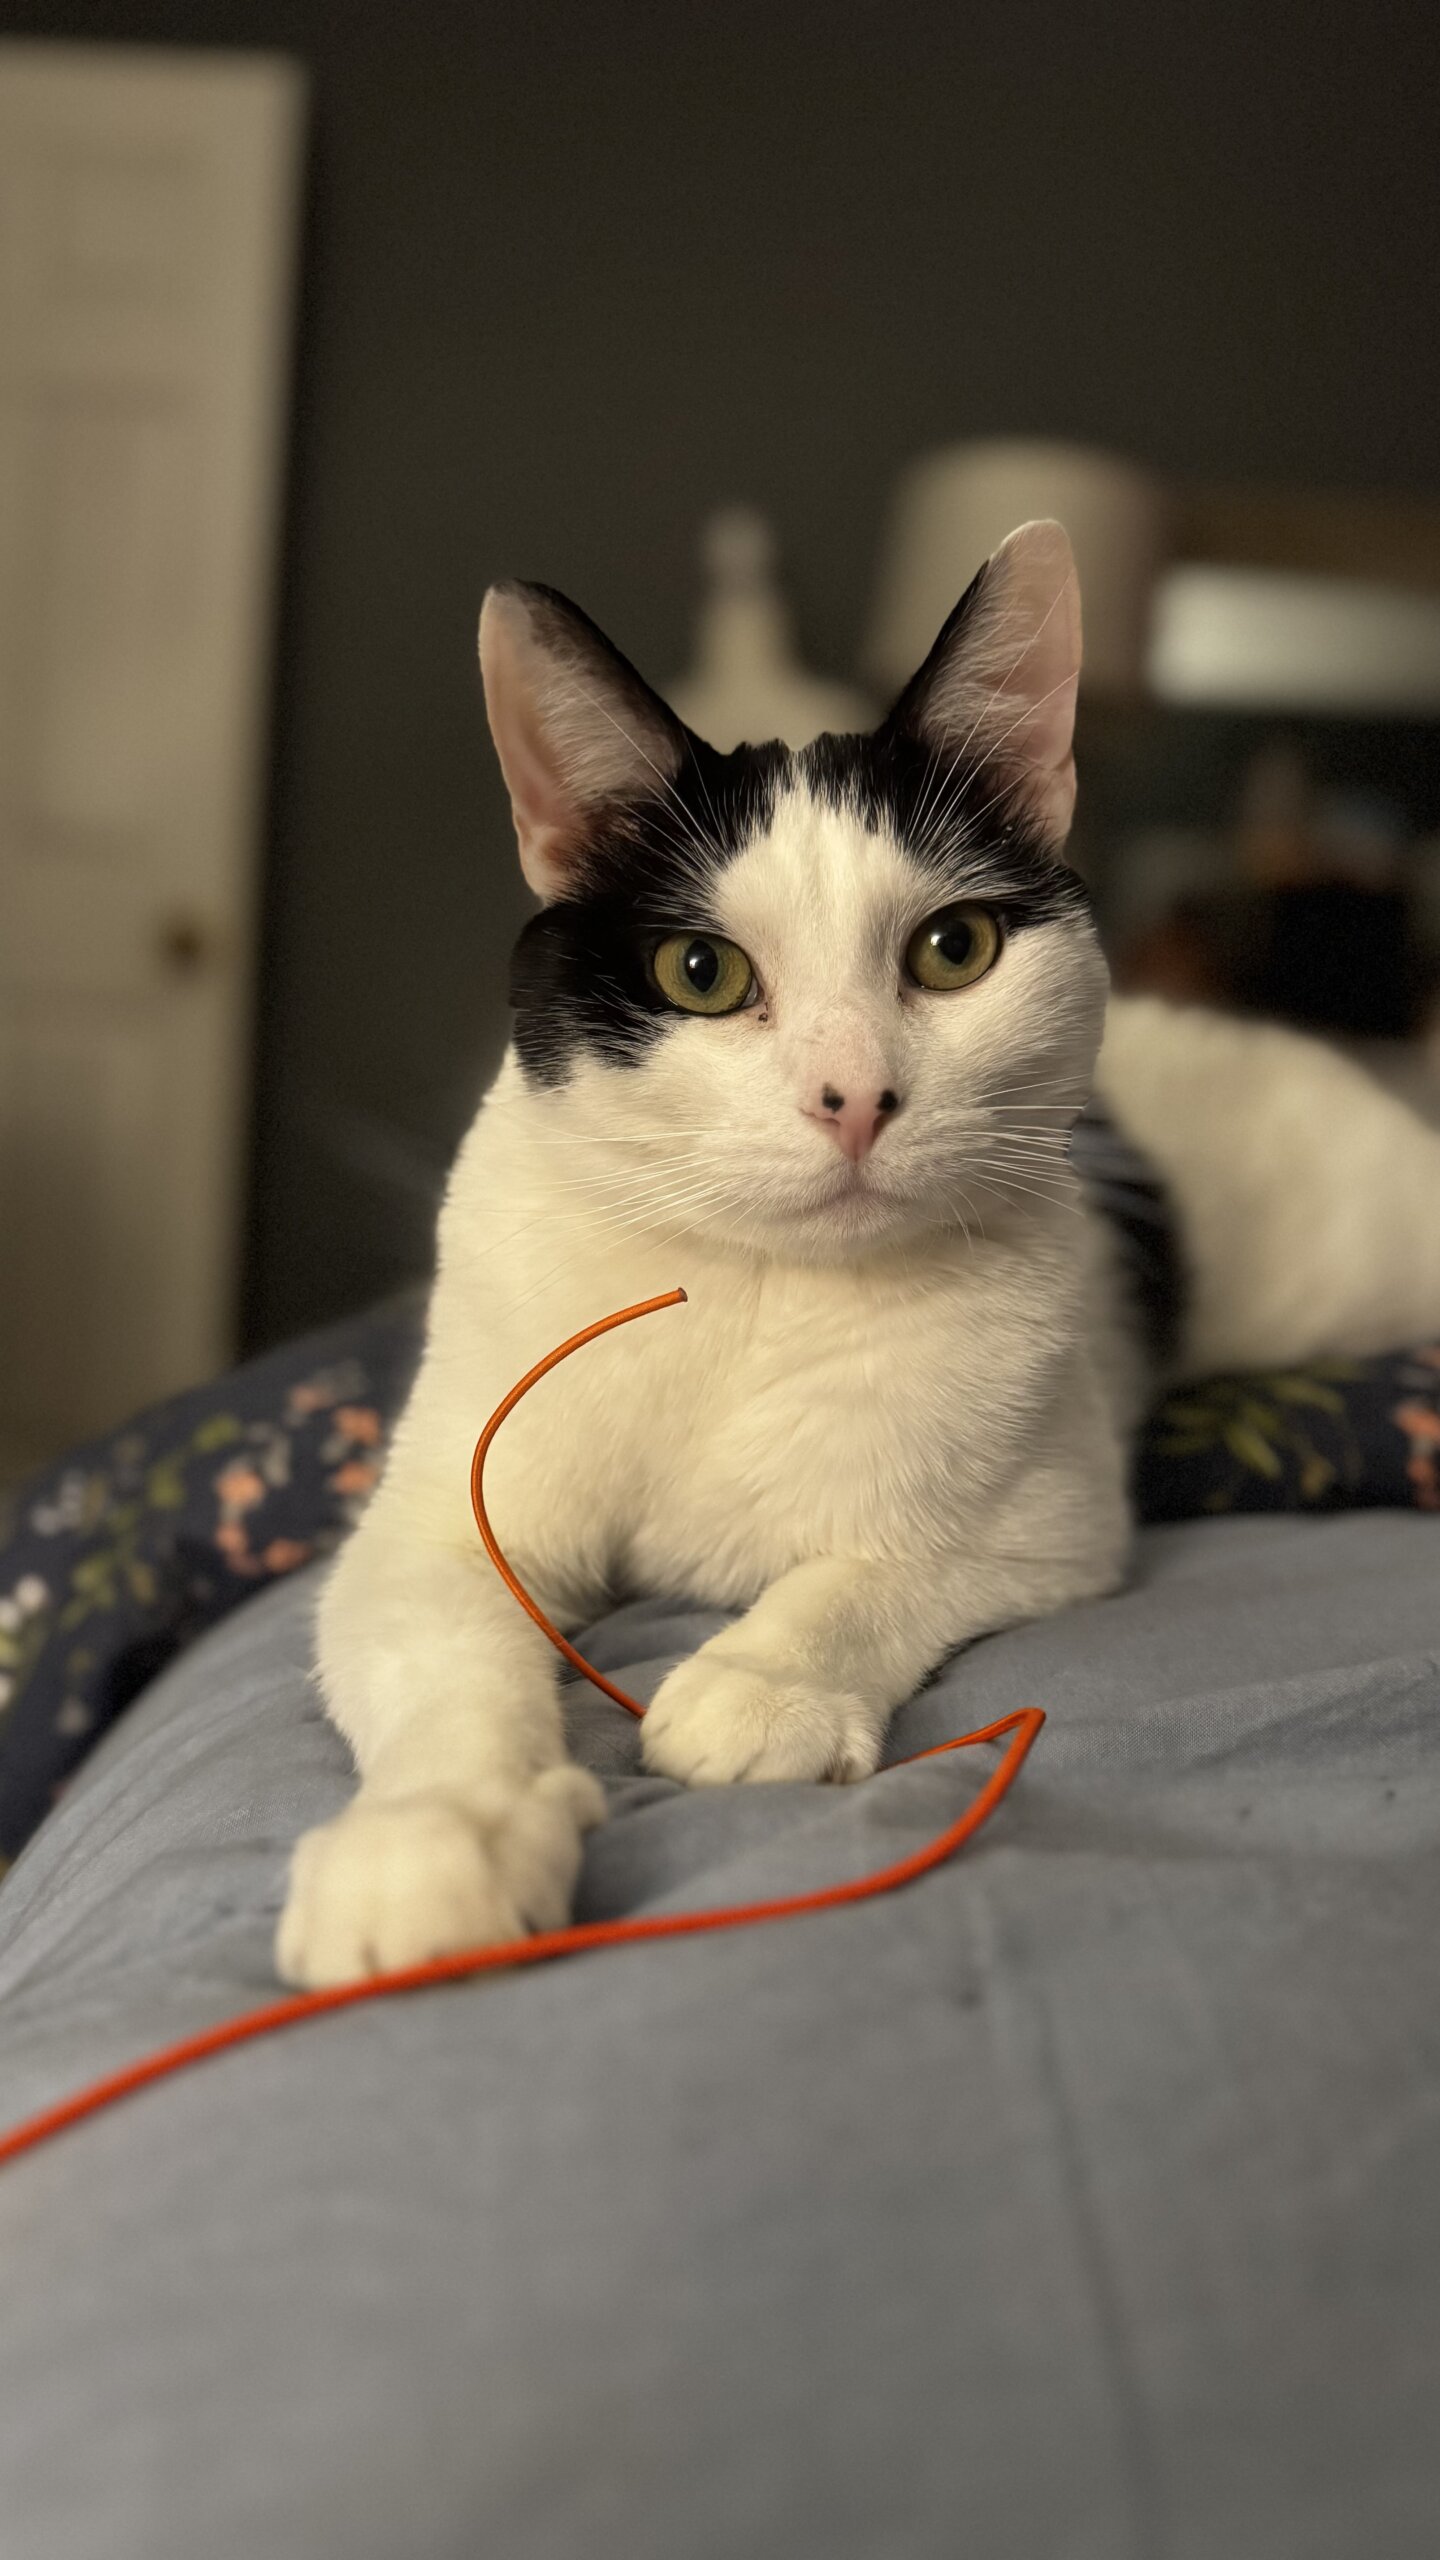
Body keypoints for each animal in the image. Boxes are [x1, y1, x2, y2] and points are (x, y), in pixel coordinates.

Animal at [277, 518, 1440, 1988]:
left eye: (954, 948)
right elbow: (445, 1661)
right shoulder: (435, 1518)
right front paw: (434, 1841)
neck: (747, 1287)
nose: (855, 1099)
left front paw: (759, 1684)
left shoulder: (1049, 1517)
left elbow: (871, 1569)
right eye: (702, 972)